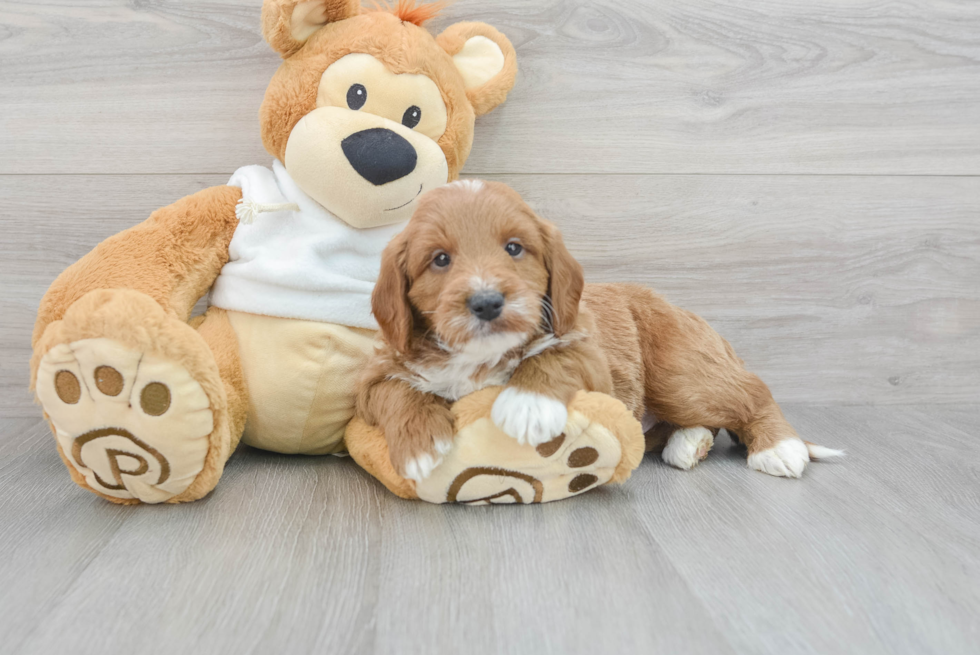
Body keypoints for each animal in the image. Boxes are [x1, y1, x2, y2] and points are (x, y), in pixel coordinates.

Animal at [356, 179, 840, 482]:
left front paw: (527, 406)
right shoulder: (376, 372)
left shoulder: (590, 351)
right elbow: (394, 392)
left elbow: (554, 356)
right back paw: (689, 442)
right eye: (439, 259)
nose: (488, 301)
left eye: (514, 248)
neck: (479, 357)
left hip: (680, 373)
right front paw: (420, 446)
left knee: (751, 391)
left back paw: (778, 448)